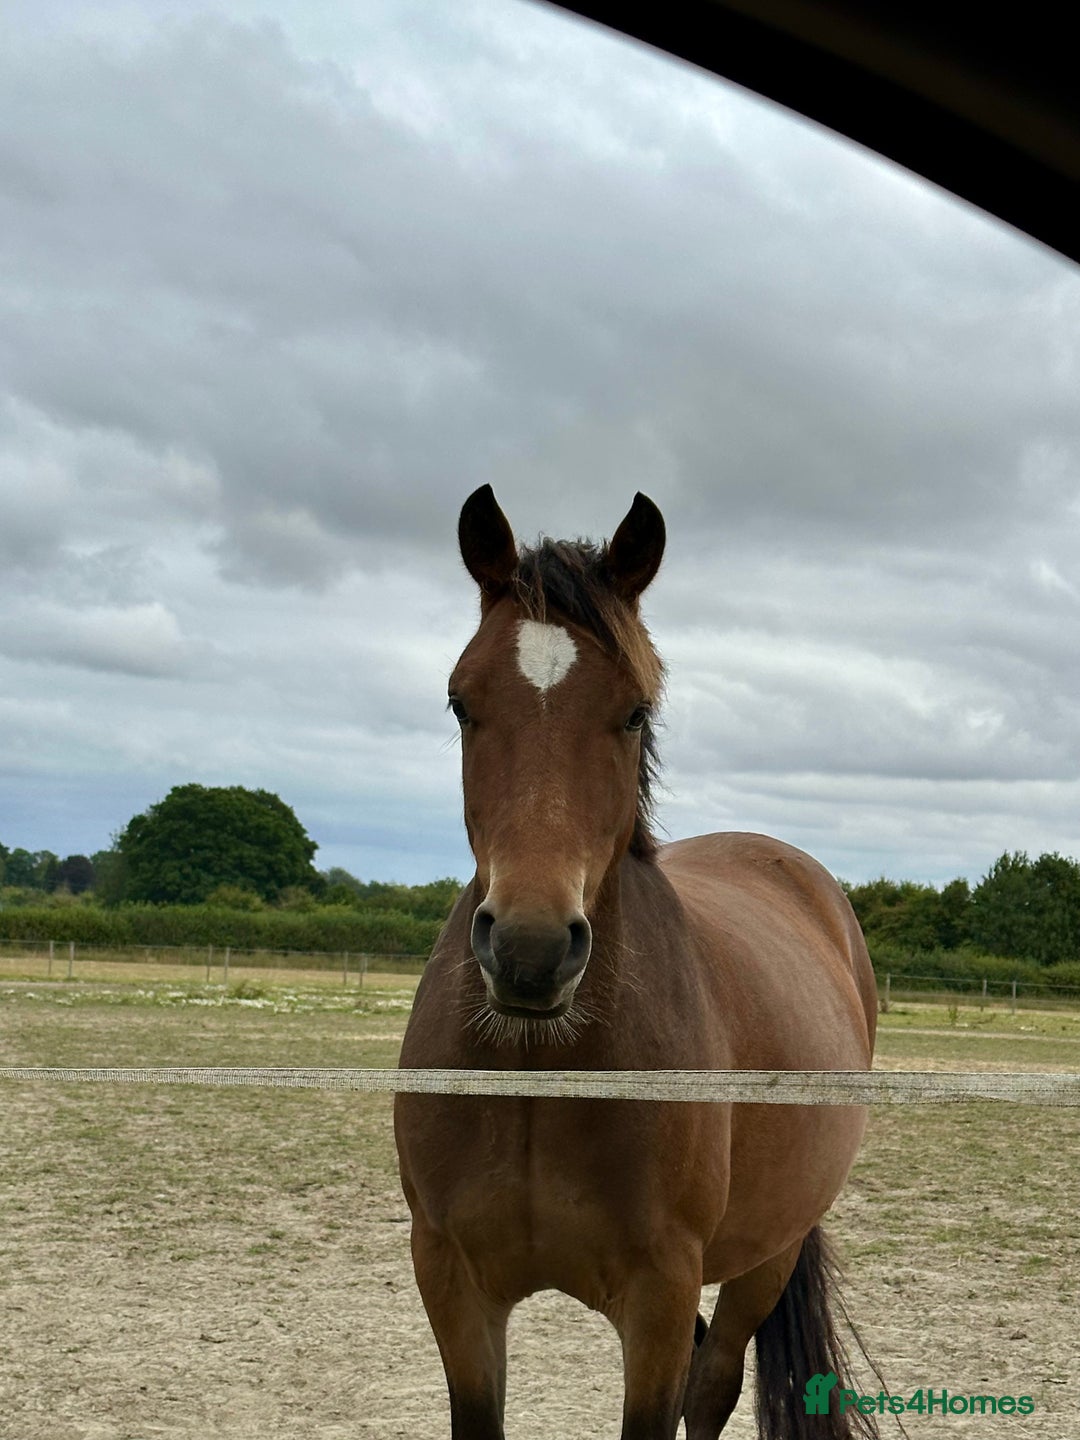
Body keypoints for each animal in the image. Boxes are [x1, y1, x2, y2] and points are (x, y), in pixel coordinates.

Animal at [394, 486, 879, 1440]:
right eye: (461, 702)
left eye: (635, 711)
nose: (532, 950)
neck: (540, 1077)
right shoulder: (453, 1282)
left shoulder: (658, 1297)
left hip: (767, 1255)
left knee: (714, 1381)